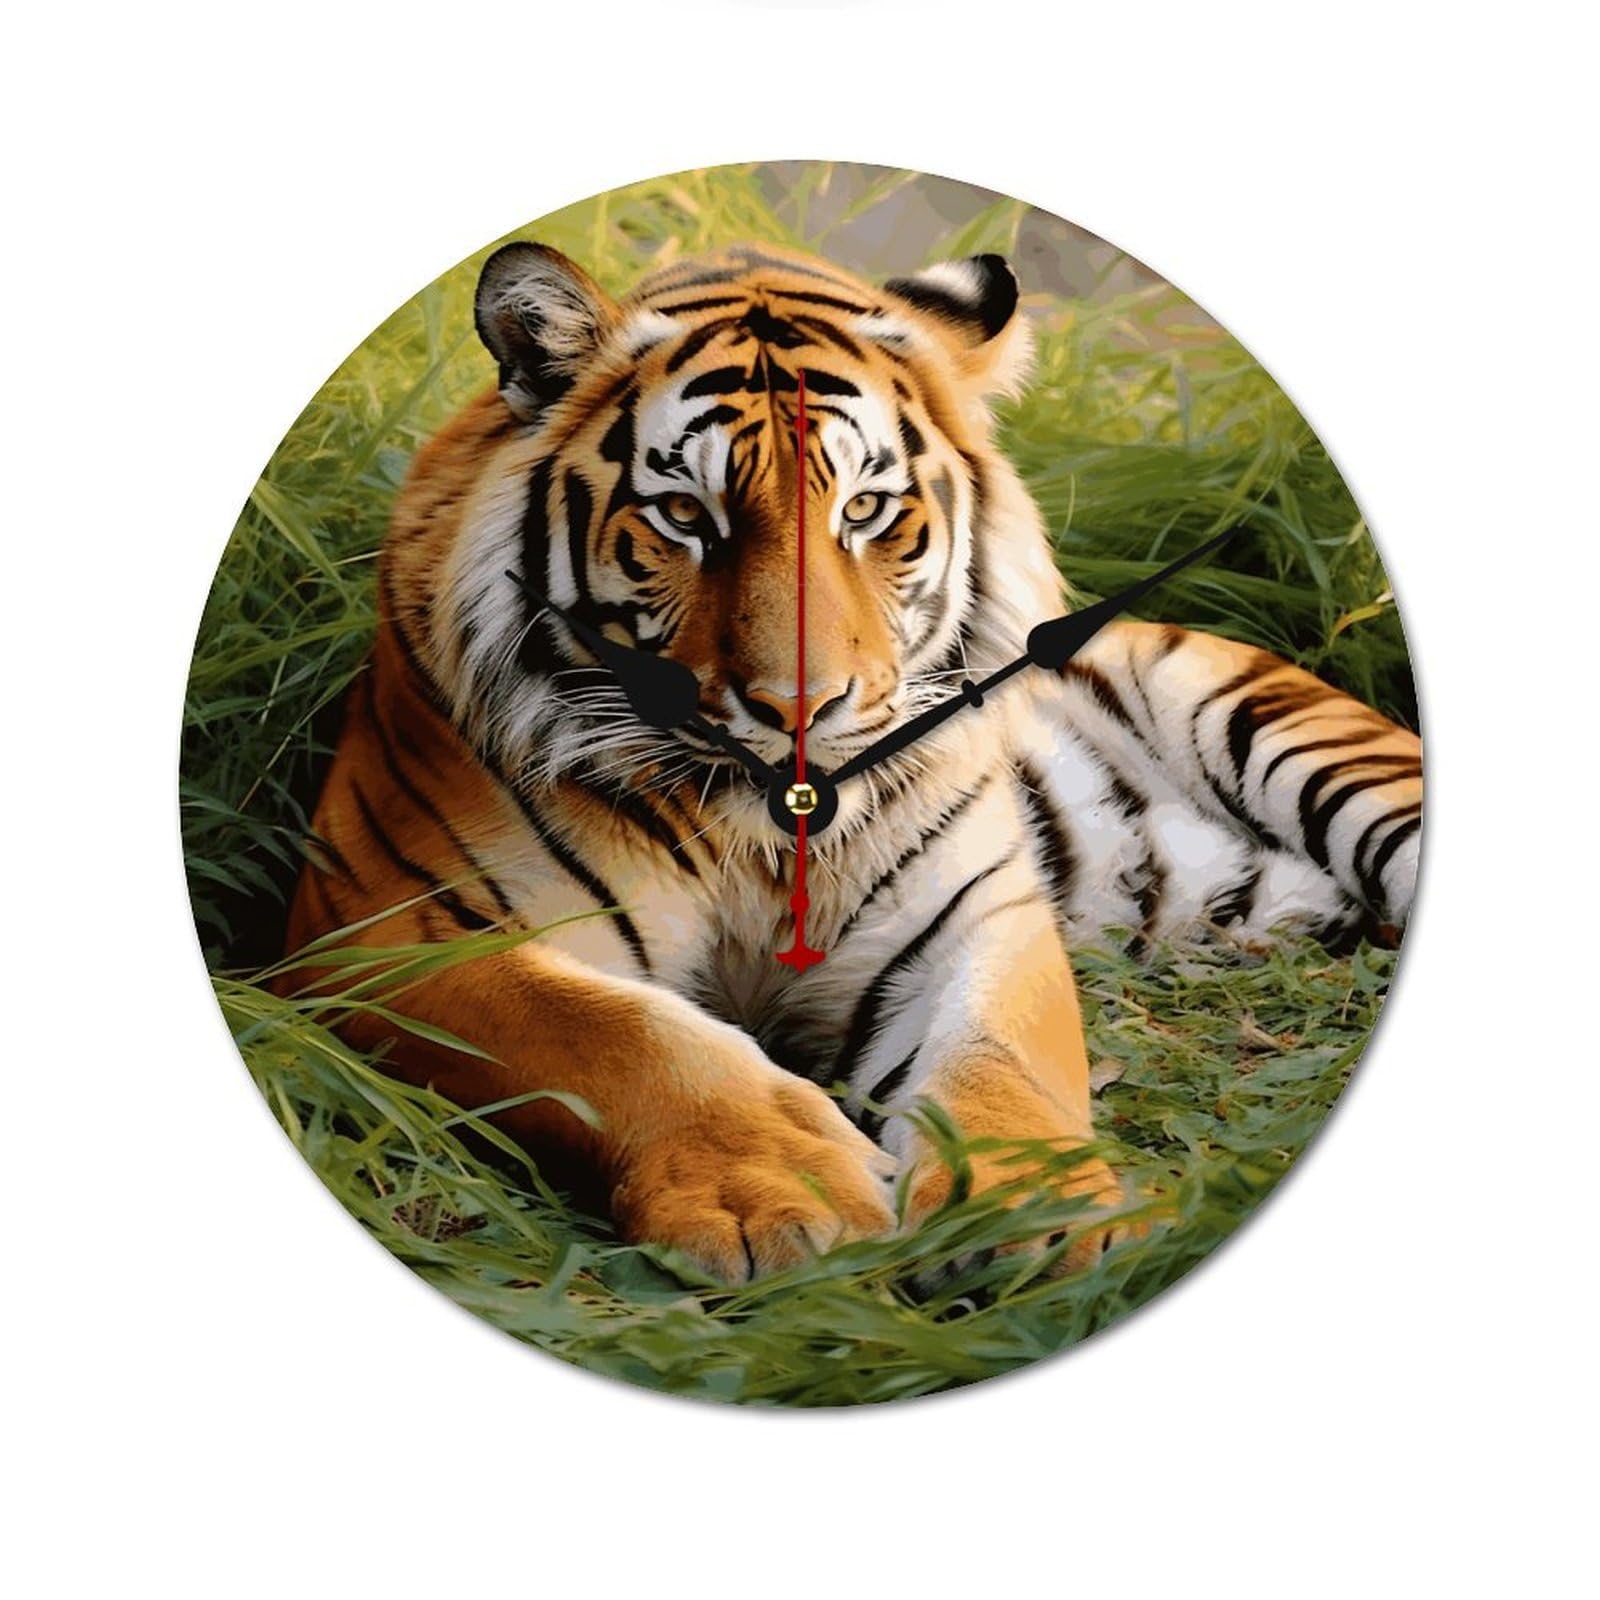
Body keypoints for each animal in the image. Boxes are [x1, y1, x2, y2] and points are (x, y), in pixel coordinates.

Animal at [284, 240, 1422, 1281]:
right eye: (685, 515)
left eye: (865, 511)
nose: (800, 707)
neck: (753, 835)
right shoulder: (391, 934)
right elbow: (619, 1036)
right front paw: (781, 1198)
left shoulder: (976, 915)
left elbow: (998, 1059)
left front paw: (1040, 1214)